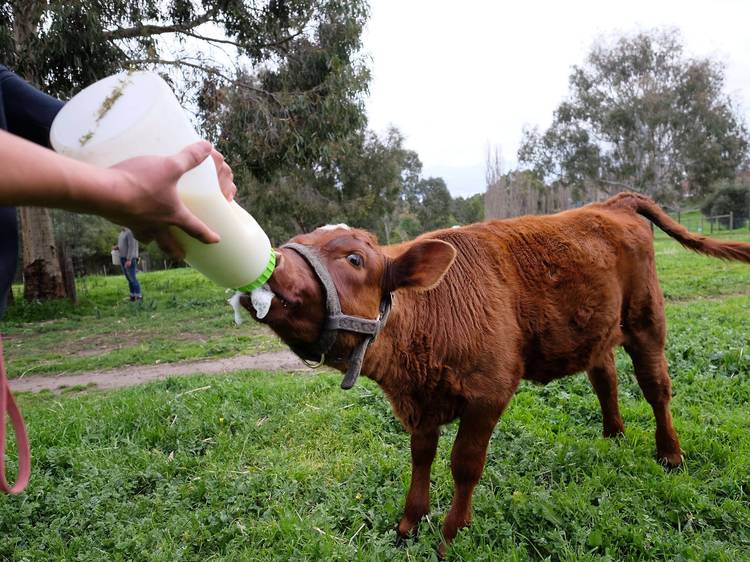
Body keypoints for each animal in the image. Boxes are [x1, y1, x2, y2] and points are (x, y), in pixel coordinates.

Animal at [241, 192, 750, 552]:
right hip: (597, 330)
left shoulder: (488, 393)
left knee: (656, 387)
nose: (274, 265)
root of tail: (611, 202)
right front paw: (409, 524)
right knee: (605, 378)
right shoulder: (419, 403)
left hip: (647, 320)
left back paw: (670, 455)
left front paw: (450, 535)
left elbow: (464, 464)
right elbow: (421, 456)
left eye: (354, 259)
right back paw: (613, 436)